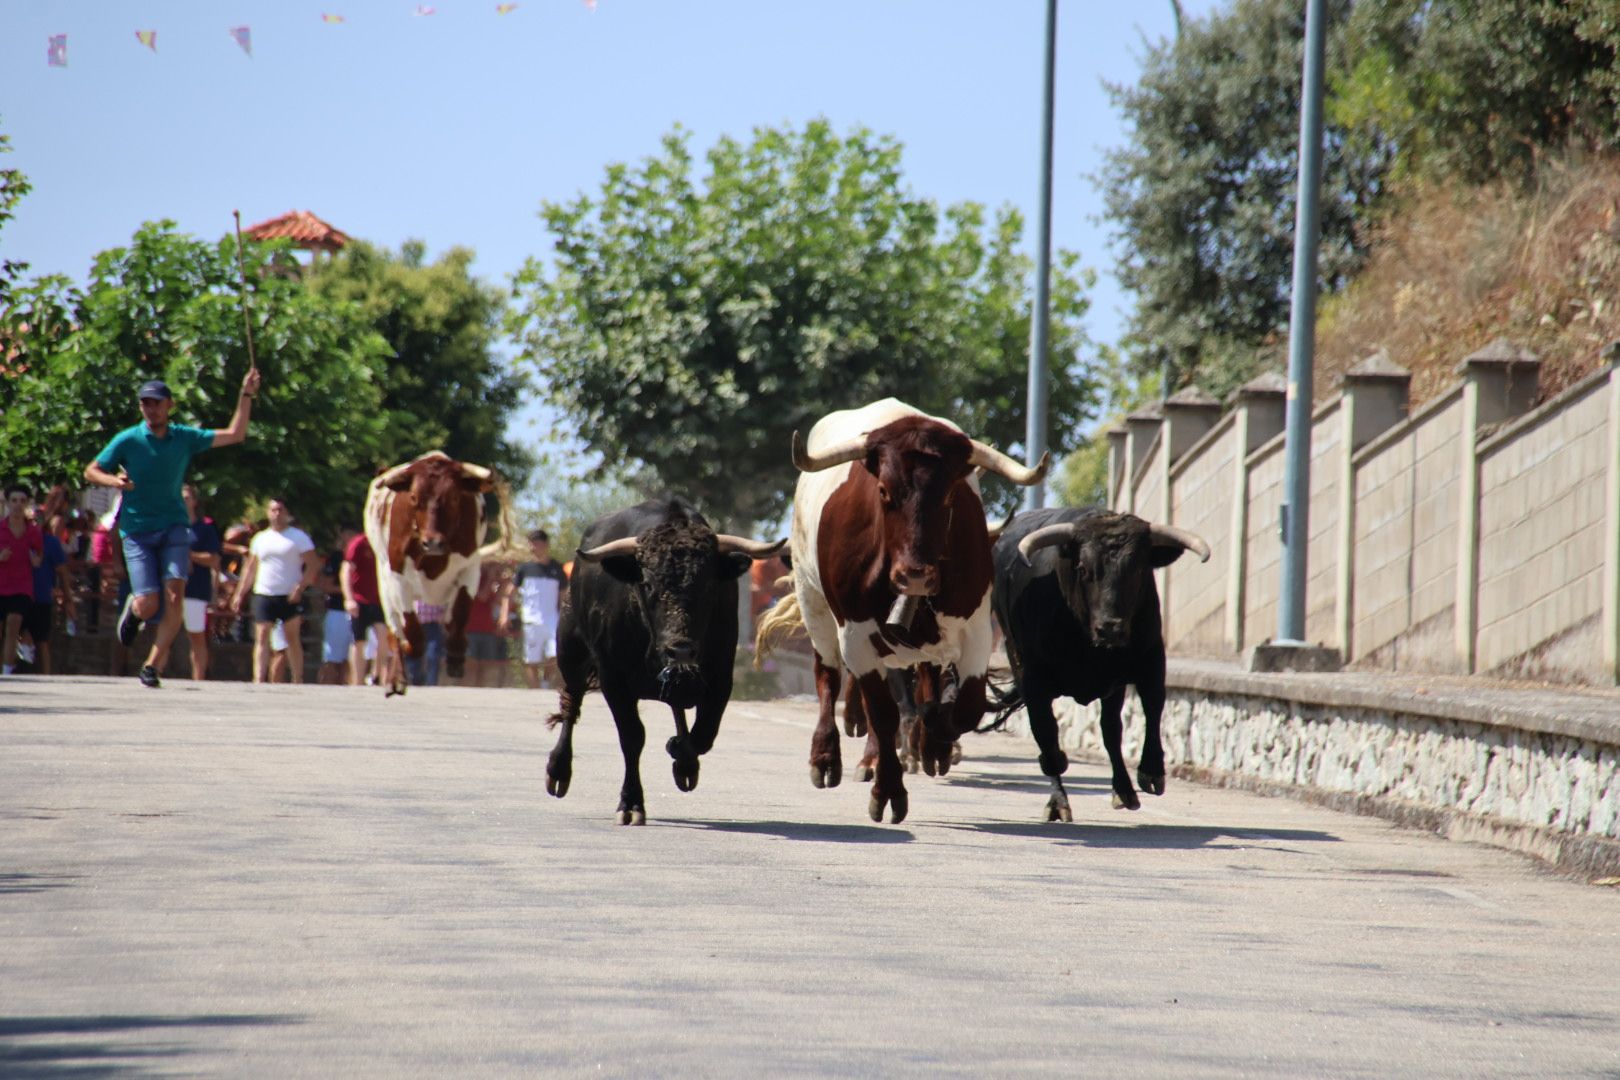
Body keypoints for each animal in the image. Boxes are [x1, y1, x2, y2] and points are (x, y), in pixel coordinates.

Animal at [362, 450, 498, 696]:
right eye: (414, 497)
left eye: (454, 498)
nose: (433, 543)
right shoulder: (397, 576)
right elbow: (412, 632)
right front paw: (406, 647)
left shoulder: (470, 567)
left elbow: (459, 615)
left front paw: (455, 656)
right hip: (383, 583)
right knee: (393, 627)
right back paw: (396, 678)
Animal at [544, 501, 784, 829]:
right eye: (647, 584)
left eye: (709, 585)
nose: (680, 649)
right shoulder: (613, 679)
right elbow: (632, 737)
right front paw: (631, 803)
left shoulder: (721, 676)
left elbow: (704, 734)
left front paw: (681, 755)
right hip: (571, 649)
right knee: (571, 704)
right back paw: (558, 771)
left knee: (678, 707)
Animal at [761, 401, 1049, 822]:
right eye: (883, 491)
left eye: (950, 494)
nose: (915, 574)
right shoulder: (856, 636)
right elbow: (882, 715)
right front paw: (888, 791)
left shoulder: (976, 629)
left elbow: (965, 708)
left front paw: (933, 739)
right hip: (812, 598)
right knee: (827, 677)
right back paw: (827, 756)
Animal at [978, 508, 1211, 819]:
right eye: (1084, 570)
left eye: (1139, 570)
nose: (1110, 627)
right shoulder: (1032, 677)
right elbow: (1046, 733)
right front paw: (1057, 792)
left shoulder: (1151, 658)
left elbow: (1152, 707)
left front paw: (1151, 772)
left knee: (1111, 729)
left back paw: (1124, 790)